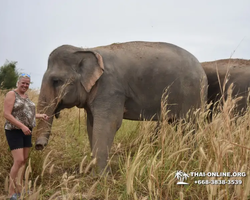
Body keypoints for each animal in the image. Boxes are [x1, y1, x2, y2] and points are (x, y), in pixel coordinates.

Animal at [35, 41, 207, 171]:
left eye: (56, 81)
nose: (38, 146)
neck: (85, 50)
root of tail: (201, 68)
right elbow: (91, 126)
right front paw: (96, 173)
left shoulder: (110, 89)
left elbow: (108, 125)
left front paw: (102, 179)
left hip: (192, 96)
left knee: (189, 127)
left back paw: (190, 162)